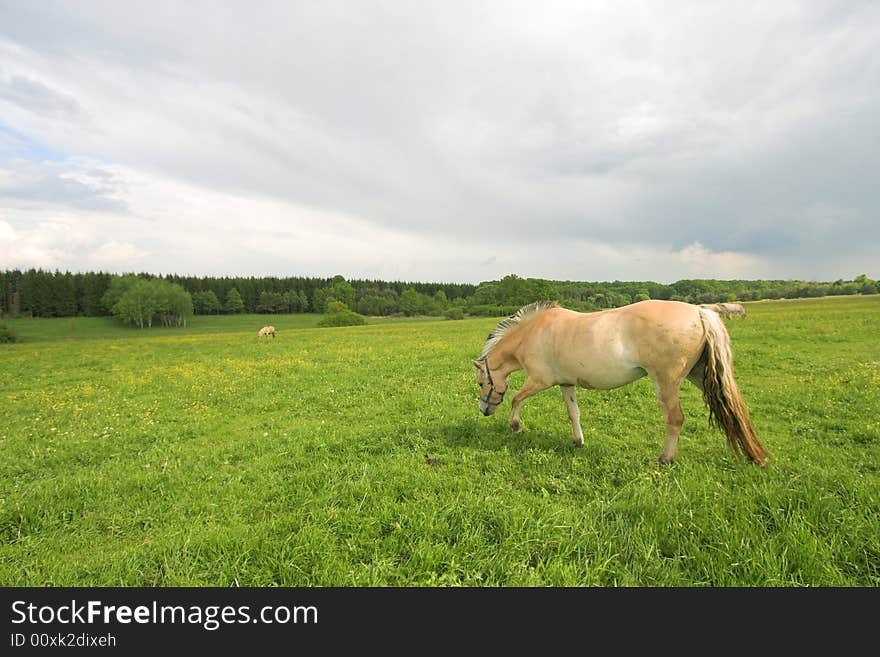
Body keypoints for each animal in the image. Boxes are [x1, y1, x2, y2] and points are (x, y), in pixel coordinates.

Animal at [470, 300, 768, 464]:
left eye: (482, 384)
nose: (484, 410)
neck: (533, 332)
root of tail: (699, 312)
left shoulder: (539, 381)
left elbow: (516, 398)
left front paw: (516, 427)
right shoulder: (566, 384)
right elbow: (573, 413)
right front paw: (578, 441)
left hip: (666, 381)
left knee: (674, 419)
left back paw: (664, 459)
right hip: (701, 376)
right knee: (733, 410)